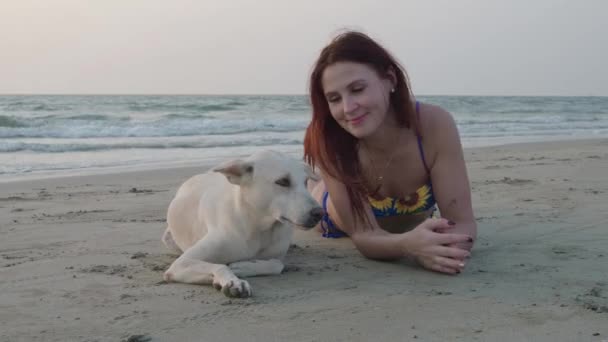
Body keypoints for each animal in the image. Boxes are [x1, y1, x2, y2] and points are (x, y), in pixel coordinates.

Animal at [160, 150, 324, 296]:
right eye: (283, 181)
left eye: (306, 182)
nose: (319, 213)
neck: (258, 227)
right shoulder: (181, 264)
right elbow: (220, 266)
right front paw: (234, 282)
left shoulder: (276, 256)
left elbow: (277, 264)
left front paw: (243, 267)